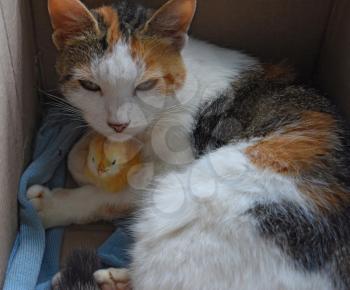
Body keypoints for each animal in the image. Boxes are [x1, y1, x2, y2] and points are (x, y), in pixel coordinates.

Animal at [26, 0, 350, 288]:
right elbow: (77, 156)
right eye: (90, 86)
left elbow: (110, 195)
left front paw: (52, 207)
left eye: (146, 85)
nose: (118, 123)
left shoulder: (173, 164)